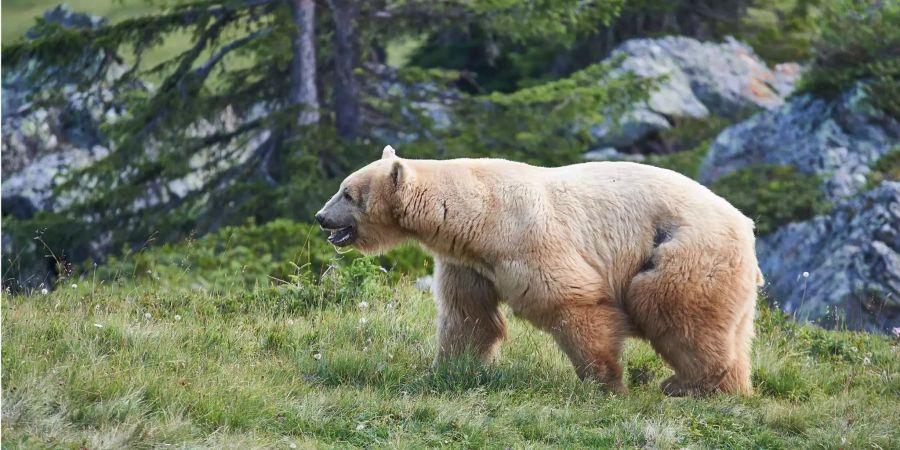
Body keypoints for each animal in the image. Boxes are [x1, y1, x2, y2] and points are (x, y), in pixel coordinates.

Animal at [312, 146, 764, 396]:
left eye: (347, 193)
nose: (320, 217)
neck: (477, 213)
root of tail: (745, 225)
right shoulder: (468, 262)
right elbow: (468, 316)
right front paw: (449, 369)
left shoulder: (524, 238)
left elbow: (571, 300)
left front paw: (605, 382)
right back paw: (729, 387)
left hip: (683, 251)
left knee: (670, 308)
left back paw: (687, 384)